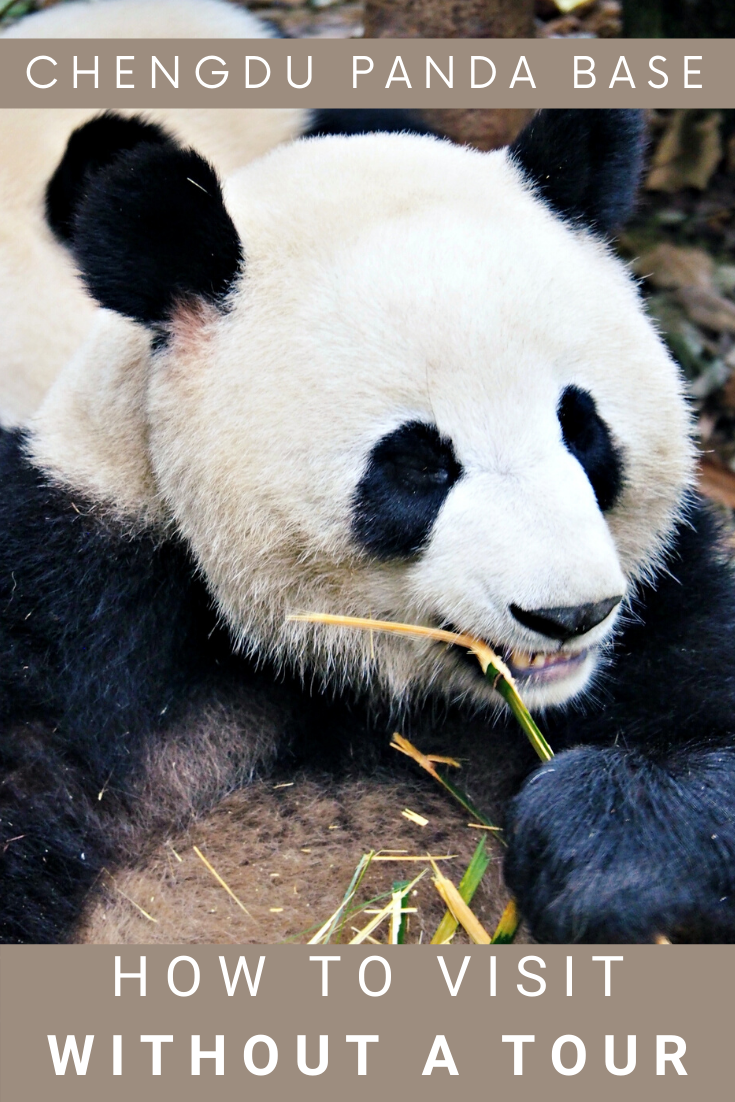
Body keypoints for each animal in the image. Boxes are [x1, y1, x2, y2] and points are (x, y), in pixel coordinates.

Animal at [2, 106, 735, 947]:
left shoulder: (666, 601)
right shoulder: (74, 607)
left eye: (578, 425)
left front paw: (597, 849)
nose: (568, 614)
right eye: (419, 463)